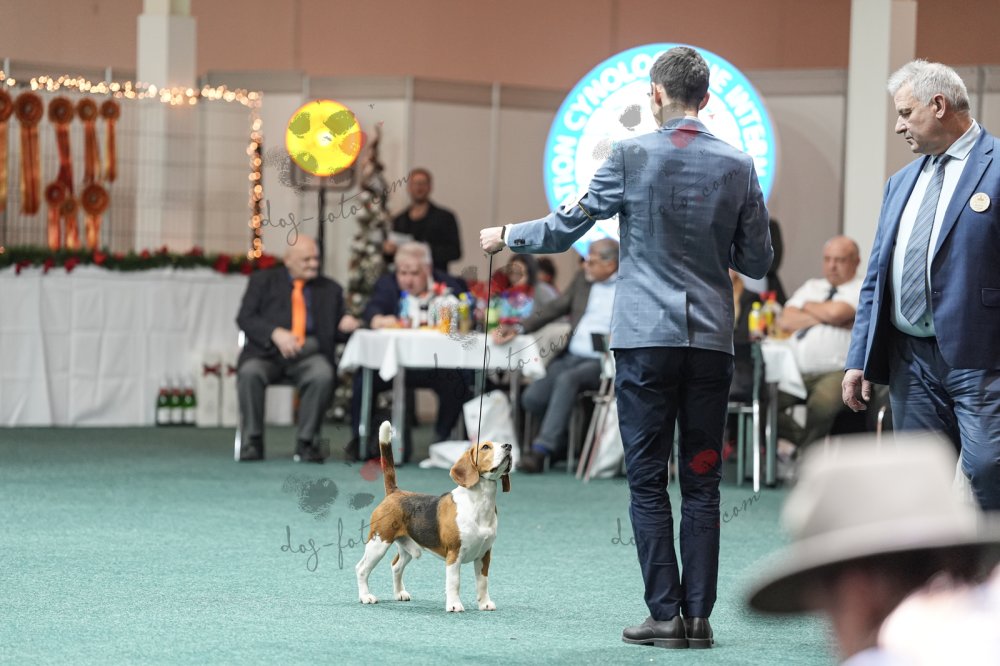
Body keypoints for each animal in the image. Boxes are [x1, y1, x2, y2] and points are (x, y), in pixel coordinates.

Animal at [356, 421, 512, 612]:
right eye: (485, 447)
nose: (509, 446)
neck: (479, 502)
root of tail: (394, 492)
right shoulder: (454, 554)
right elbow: (454, 582)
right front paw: (454, 605)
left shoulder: (484, 554)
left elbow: (483, 582)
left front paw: (484, 604)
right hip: (378, 543)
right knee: (361, 568)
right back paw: (365, 596)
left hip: (406, 547)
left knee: (396, 566)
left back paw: (400, 593)